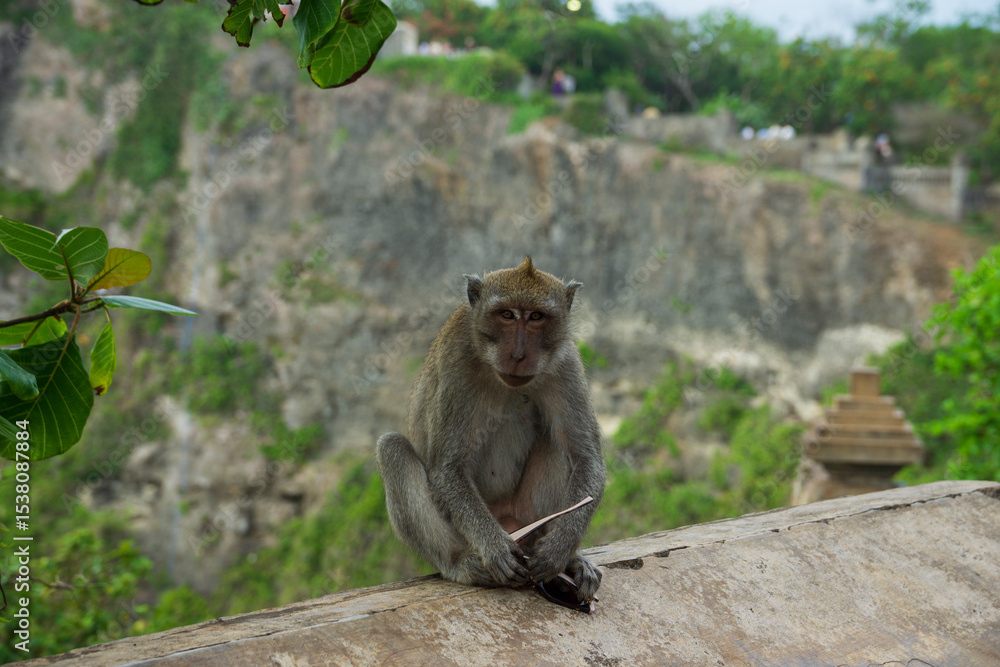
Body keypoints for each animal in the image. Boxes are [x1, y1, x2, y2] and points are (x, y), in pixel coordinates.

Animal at [376, 257, 605, 602]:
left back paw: (569, 560)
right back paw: (463, 563)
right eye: (506, 315)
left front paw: (559, 549)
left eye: (536, 317)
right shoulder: (456, 362)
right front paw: (495, 550)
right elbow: (448, 468)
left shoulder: (564, 361)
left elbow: (585, 456)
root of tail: (510, 524)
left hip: (524, 518)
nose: (518, 354)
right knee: (392, 449)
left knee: (558, 445)